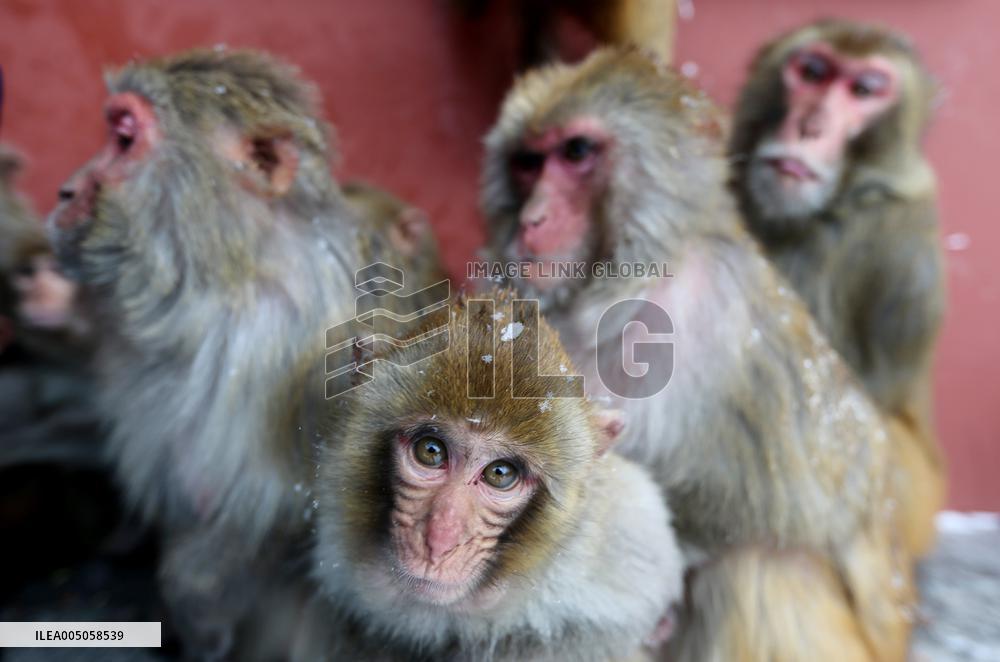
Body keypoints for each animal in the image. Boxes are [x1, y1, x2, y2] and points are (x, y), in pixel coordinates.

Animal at [481, 47, 920, 660]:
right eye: (527, 163)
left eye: (576, 152)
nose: (531, 219)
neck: (623, 286)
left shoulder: (716, 314)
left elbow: (769, 508)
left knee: (756, 567)